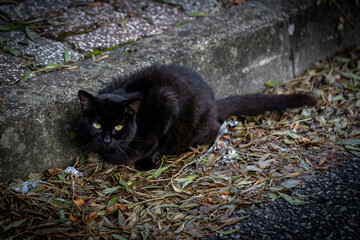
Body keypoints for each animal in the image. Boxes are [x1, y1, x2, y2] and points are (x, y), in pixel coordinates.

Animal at [77, 63, 316, 170]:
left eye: (118, 127)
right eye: (97, 125)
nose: (106, 140)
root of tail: (214, 101)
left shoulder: (166, 103)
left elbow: (157, 142)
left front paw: (147, 162)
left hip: (198, 124)